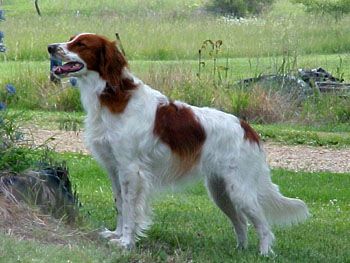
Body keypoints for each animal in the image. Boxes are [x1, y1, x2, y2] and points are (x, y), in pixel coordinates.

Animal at [47, 34, 308, 256]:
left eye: (81, 44)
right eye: (70, 39)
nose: (50, 47)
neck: (111, 96)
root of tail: (247, 128)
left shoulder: (131, 170)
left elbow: (130, 209)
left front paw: (126, 242)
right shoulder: (114, 169)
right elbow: (120, 205)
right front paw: (116, 234)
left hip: (240, 189)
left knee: (263, 225)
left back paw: (263, 253)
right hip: (220, 190)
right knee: (241, 222)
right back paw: (240, 250)